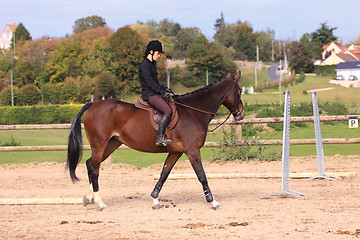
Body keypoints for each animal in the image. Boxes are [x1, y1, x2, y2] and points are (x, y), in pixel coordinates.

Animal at [67, 71, 245, 210]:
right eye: (239, 91)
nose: (241, 114)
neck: (193, 112)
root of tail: (92, 105)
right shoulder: (192, 150)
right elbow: (202, 175)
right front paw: (213, 201)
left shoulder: (176, 152)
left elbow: (164, 174)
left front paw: (155, 200)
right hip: (100, 145)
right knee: (94, 168)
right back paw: (100, 203)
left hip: (111, 144)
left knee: (90, 164)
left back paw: (89, 198)